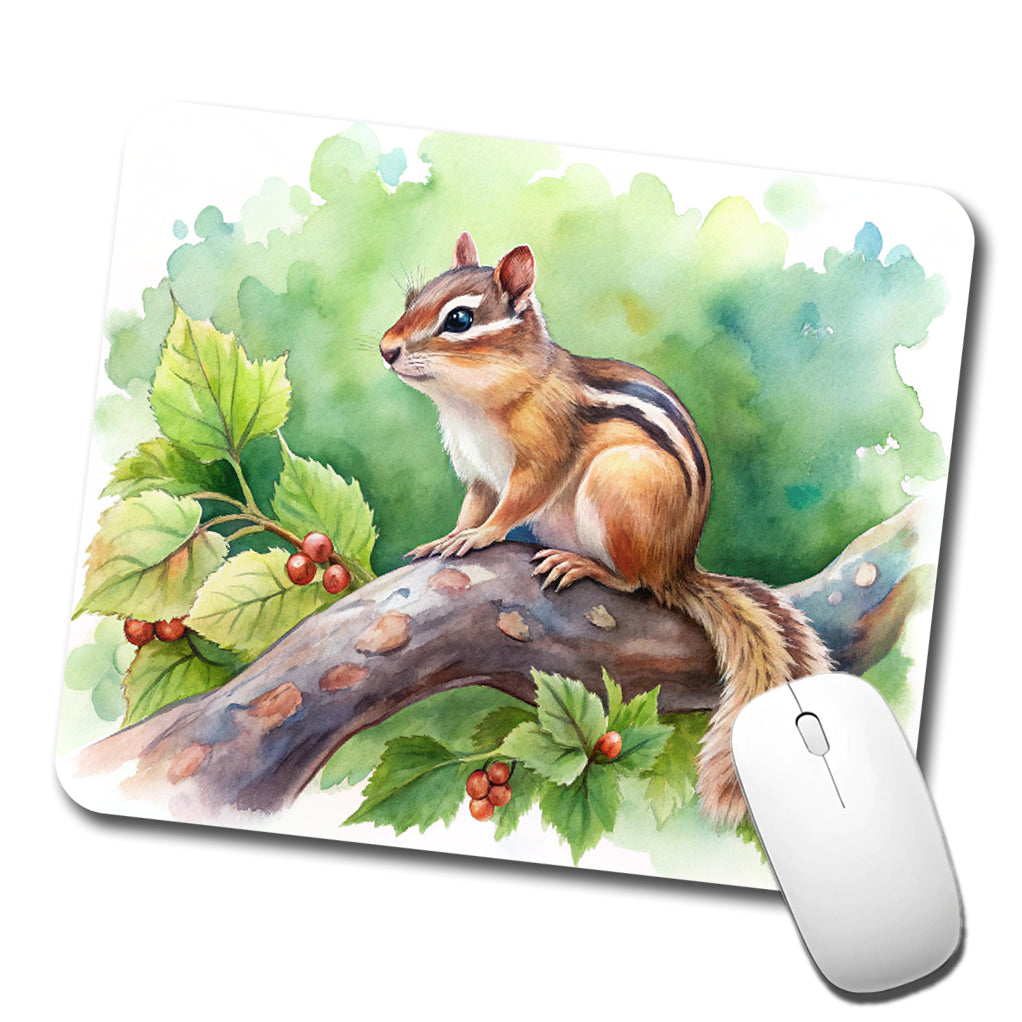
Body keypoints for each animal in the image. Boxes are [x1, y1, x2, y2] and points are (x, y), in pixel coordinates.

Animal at [380, 232, 832, 827]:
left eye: (459, 319)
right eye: (411, 298)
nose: (385, 349)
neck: (478, 401)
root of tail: (679, 565)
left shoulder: (542, 457)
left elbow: (514, 504)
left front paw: (480, 537)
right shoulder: (477, 474)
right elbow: (474, 507)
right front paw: (447, 537)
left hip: (618, 486)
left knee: (635, 581)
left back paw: (583, 565)